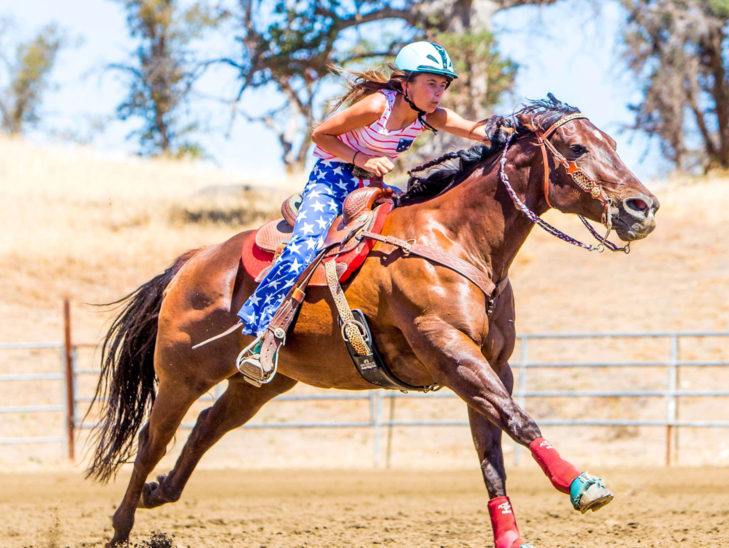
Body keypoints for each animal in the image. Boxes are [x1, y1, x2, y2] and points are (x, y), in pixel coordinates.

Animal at [88, 96, 656, 544]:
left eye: (613, 142)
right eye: (577, 148)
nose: (642, 206)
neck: (456, 241)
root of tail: (193, 262)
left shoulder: (492, 365)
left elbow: (492, 452)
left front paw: (512, 536)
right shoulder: (449, 350)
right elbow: (519, 421)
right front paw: (582, 485)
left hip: (259, 384)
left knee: (206, 428)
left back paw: (160, 493)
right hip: (181, 375)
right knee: (151, 441)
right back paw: (120, 525)